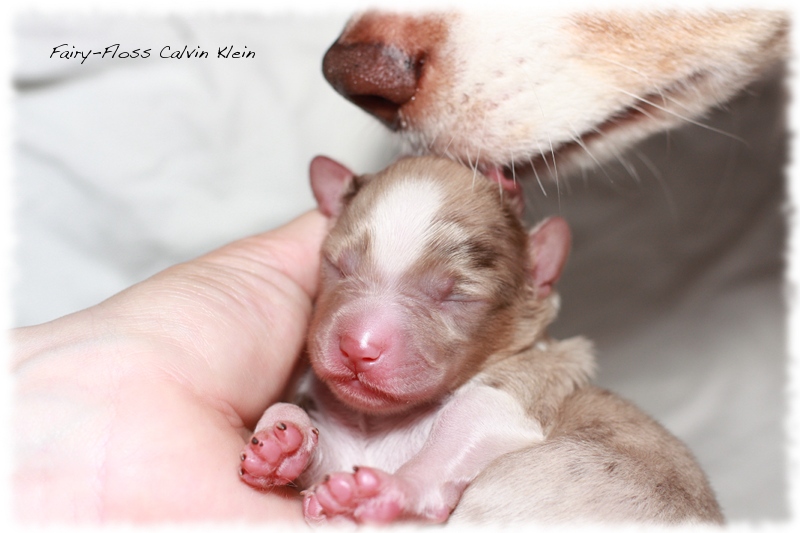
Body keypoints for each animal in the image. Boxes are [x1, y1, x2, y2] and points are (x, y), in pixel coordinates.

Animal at [236, 155, 720, 524]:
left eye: (456, 296)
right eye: (337, 267)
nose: (358, 346)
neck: (381, 423)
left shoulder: (516, 394)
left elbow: (464, 423)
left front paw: (396, 486)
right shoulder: (345, 444)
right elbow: (309, 430)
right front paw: (282, 442)